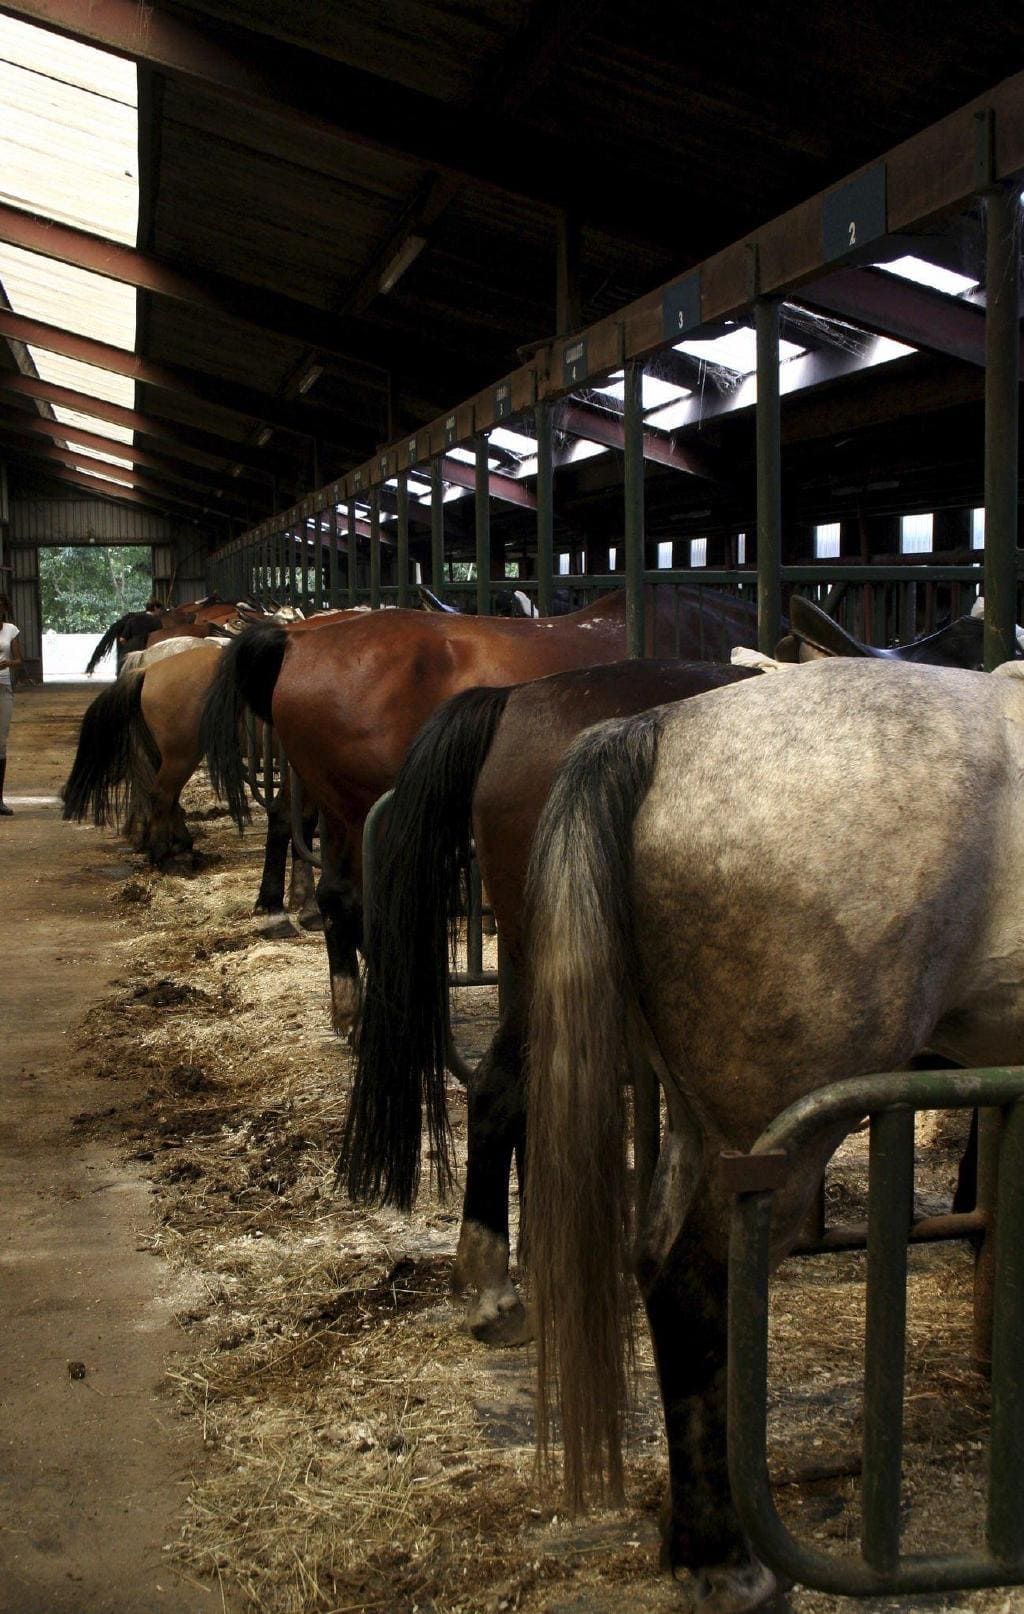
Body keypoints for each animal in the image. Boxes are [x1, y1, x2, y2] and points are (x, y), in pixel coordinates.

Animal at [523, 658, 1024, 1614]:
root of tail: (660, 730)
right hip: (776, 1138)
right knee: (694, 1285)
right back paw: (725, 1560)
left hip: (702, 1126)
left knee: (657, 1261)